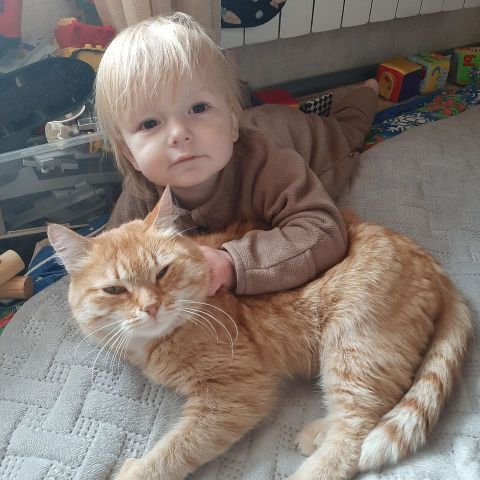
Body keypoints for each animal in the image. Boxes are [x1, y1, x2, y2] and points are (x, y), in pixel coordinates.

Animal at [48, 190, 472, 480]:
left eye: (162, 272)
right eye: (114, 290)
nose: (151, 307)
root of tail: (432, 264)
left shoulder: (236, 394)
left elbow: (176, 447)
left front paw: (138, 470)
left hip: (352, 351)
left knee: (356, 432)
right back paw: (319, 431)